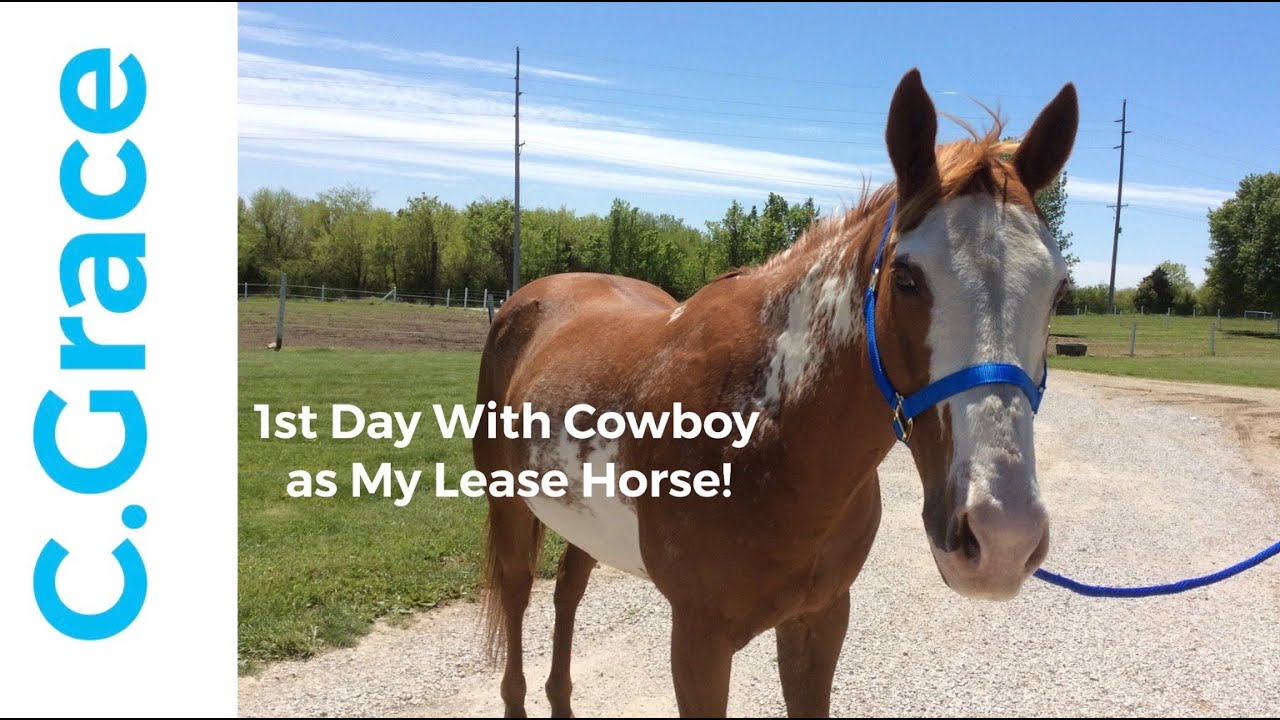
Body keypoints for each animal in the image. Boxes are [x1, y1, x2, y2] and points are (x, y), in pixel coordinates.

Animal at [473, 68, 1078, 718]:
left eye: (1059, 289)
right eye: (906, 278)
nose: (1002, 537)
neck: (765, 436)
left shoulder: (821, 621)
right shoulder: (699, 640)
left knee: (568, 593)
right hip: (508, 508)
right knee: (518, 596)